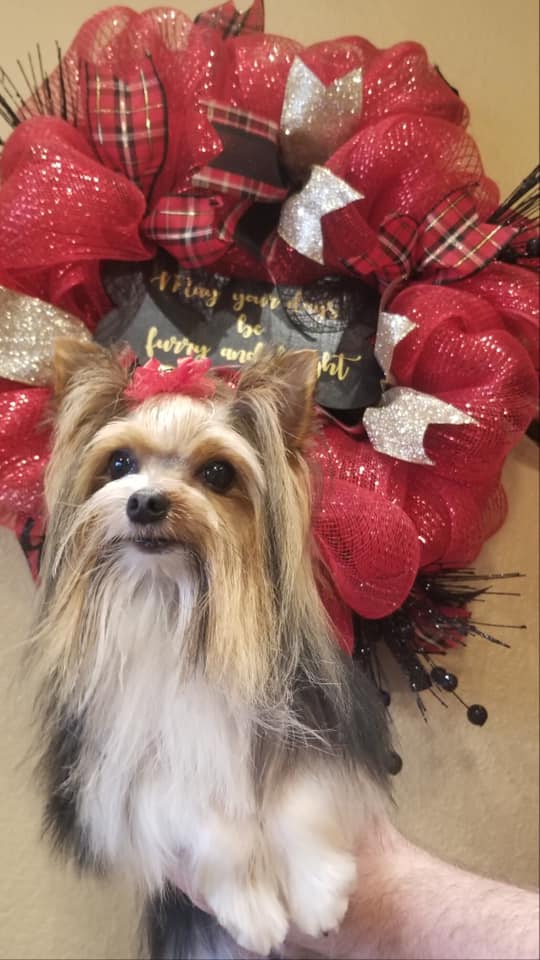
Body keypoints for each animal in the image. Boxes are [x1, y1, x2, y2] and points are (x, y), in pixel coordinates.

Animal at [30, 340, 392, 959]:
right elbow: (200, 820)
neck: (172, 599)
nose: (145, 502)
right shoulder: (110, 778)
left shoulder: (313, 719)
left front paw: (319, 893)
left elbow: (302, 793)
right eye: (119, 463)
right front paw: (251, 907)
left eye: (218, 472)